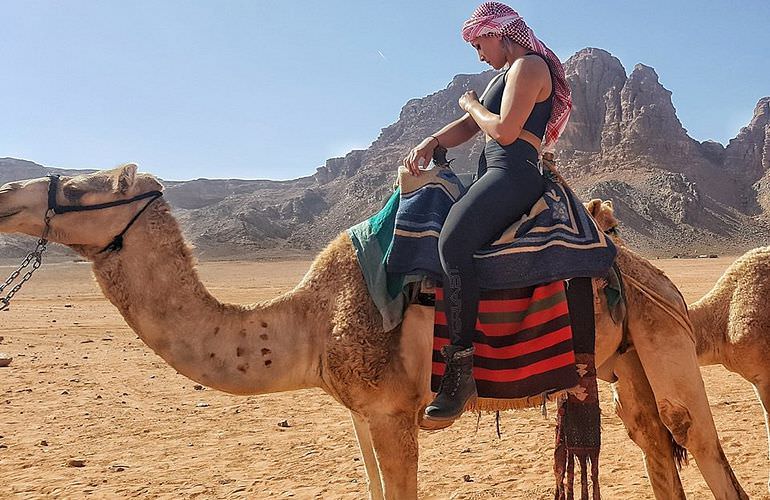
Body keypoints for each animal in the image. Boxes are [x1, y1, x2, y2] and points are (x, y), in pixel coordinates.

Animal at [0, 167, 748, 500]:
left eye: (86, 189)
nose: (8, 194)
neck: (310, 321)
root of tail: (653, 272)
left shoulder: (393, 410)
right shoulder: (360, 413)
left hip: (665, 336)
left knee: (700, 444)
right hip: (624, 359)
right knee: (655, 446)